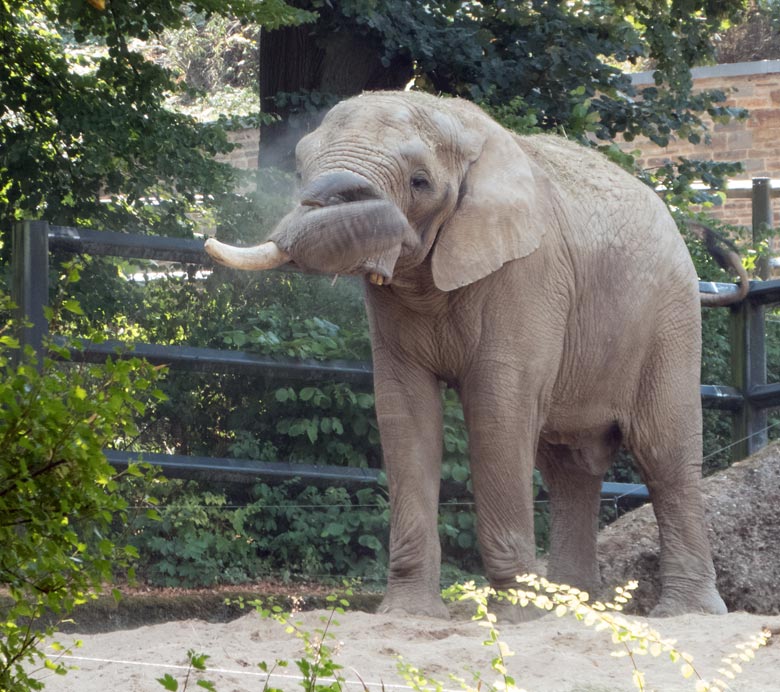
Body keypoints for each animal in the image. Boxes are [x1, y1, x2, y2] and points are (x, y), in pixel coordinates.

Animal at [204, 90, 748, 616]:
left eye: (420, 182)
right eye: (298, 172)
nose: (326, 196)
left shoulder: (527, 273)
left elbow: (497, 411)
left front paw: (517, 616)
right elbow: (404, 413)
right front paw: (409, 615)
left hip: (670, 321)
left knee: (664, 452)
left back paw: (684, 614)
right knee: (569, 467)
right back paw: (575, 610)